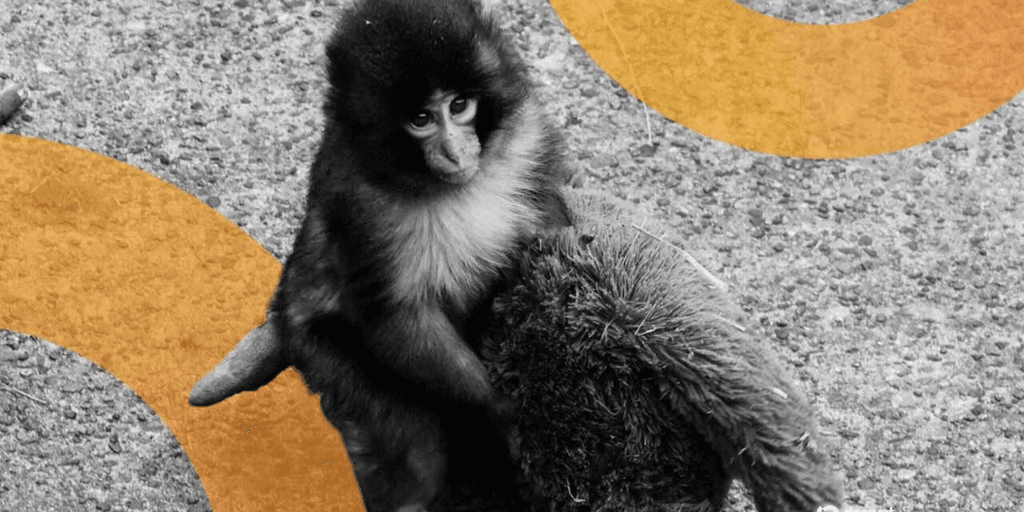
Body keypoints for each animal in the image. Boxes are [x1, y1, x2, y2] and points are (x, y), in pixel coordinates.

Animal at [258, 0, 571, 510]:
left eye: (459, 106)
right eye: (421, 119)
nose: (455, 151)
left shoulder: (528, 136)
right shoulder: (358, 202)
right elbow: (395, 316)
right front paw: (501, 408)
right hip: (319, 350)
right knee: (415, 446)